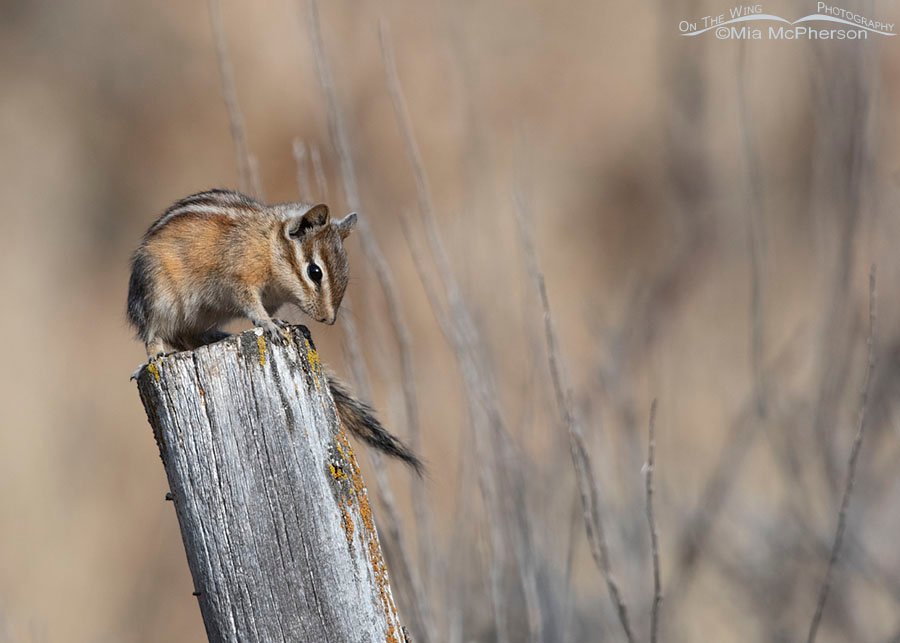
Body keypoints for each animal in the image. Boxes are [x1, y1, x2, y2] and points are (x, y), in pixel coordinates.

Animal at [127, 188, 423, 473]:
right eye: (315, 272)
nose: (328, 319)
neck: (269, 243)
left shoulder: (270, 298)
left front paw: (277, 322)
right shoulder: (239, 280)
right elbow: (252, 306)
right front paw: (269, 325)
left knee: (191, 335)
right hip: (156, 294)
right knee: (154, 334)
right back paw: (154, 356)